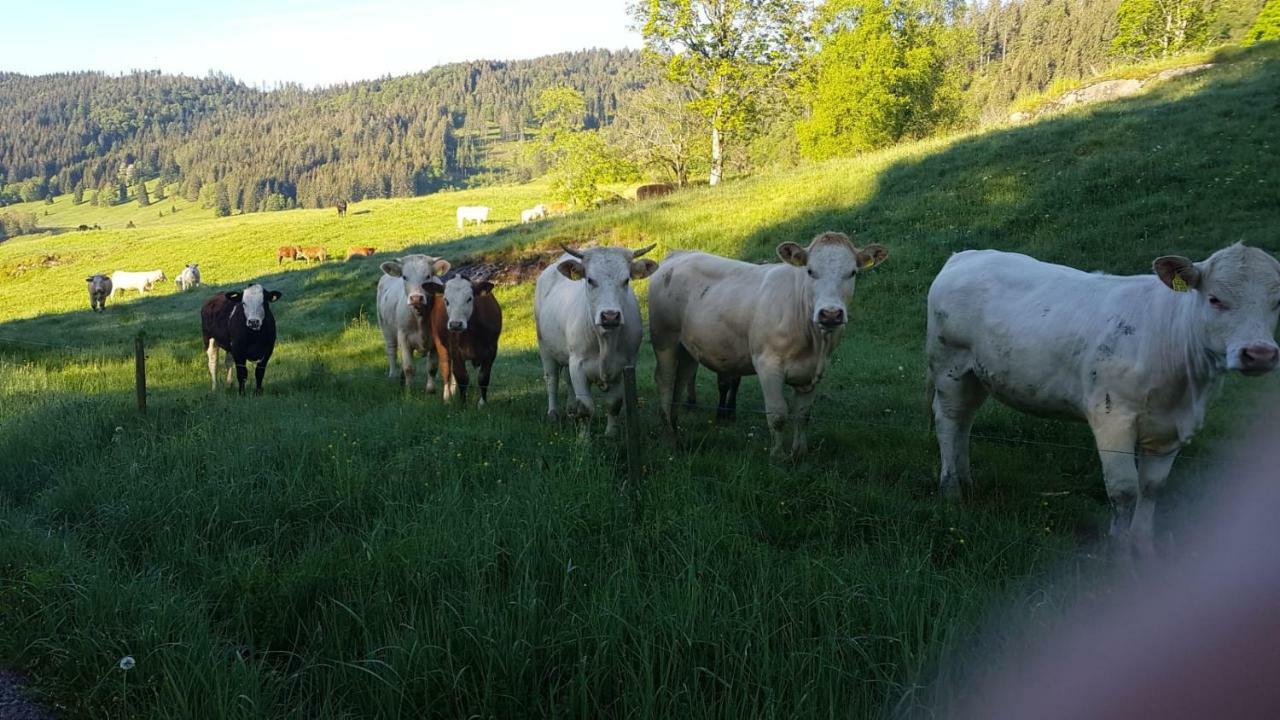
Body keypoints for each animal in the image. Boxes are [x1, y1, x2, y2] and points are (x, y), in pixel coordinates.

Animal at [376, 252, 453, 394]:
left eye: (428, 276)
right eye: (405, 277)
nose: (416, 297)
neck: (420, 317)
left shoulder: (436, 340)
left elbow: (432, 367)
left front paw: (430, 389)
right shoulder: (403, 337)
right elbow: (409, 367)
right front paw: (409, 391)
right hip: (386, 328)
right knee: (391, 351)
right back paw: (393, 375)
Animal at [422, 274, 496, 407]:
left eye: (469, 298)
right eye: (446, 300)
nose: (455, 324)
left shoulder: (491, 350)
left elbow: (483, 377)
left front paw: (482, 403)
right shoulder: (455, 350)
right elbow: (462, 377)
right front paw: (463, 403)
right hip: (441, 347)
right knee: (446, 371)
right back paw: (447, 398)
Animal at [535, 240, 660, 435]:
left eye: (626, 280)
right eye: (590, 280)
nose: (610, 316)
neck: (605, 341)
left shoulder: (625, 364)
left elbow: (614, 403)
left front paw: (611, 434)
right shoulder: (577, 364)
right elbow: (585, 407)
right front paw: (583, 439)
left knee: (567, 380)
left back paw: (570, 410)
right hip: (544, 347)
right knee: (552, 379)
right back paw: (553, 414)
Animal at [650, 229, 890, 456]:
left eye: (852, 272)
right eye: (810, 271)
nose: (830, 314)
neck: (814, 342)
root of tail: (678, 254)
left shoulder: (815, 371)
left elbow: (803, 415)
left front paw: (799, 453)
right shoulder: (768, 365)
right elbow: (777, 414)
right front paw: (778, 456)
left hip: (688, 348)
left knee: (681, 379)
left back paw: (675, 428)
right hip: (665, 340)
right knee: (665, 380)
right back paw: (669, 437)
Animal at [926, 243, 1280, 550]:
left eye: (1277, 302)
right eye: (1215, 299)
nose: (1259, 354)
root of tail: (966, 255)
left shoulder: (1170, 429)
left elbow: (1152, 488)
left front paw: (1144, 548)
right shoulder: (1112, 418)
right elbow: (1125, 491)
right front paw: (1119, 554)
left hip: (976, 375)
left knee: (964, 422)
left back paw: (966, 479)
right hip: (949, 366)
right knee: (948, 422)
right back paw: (951, 488)